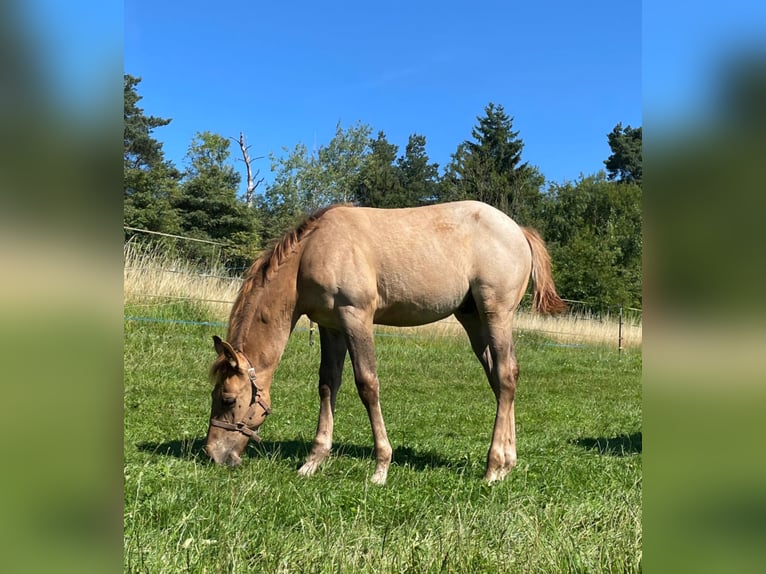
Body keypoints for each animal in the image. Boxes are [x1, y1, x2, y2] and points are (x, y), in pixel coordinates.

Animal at [205, 200, 566, 484]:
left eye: (227, 398)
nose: (212, 453)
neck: (313, 251)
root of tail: (518, 230)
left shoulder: (356, 317)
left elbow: (367, 385)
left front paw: (381, 467)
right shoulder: (331, 327)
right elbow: (328, 385)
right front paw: (313, 461)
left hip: (496, 314)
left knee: (505, 376)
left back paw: (493, 468)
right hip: (473, 319)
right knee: (500, 379)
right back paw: (507, 463)